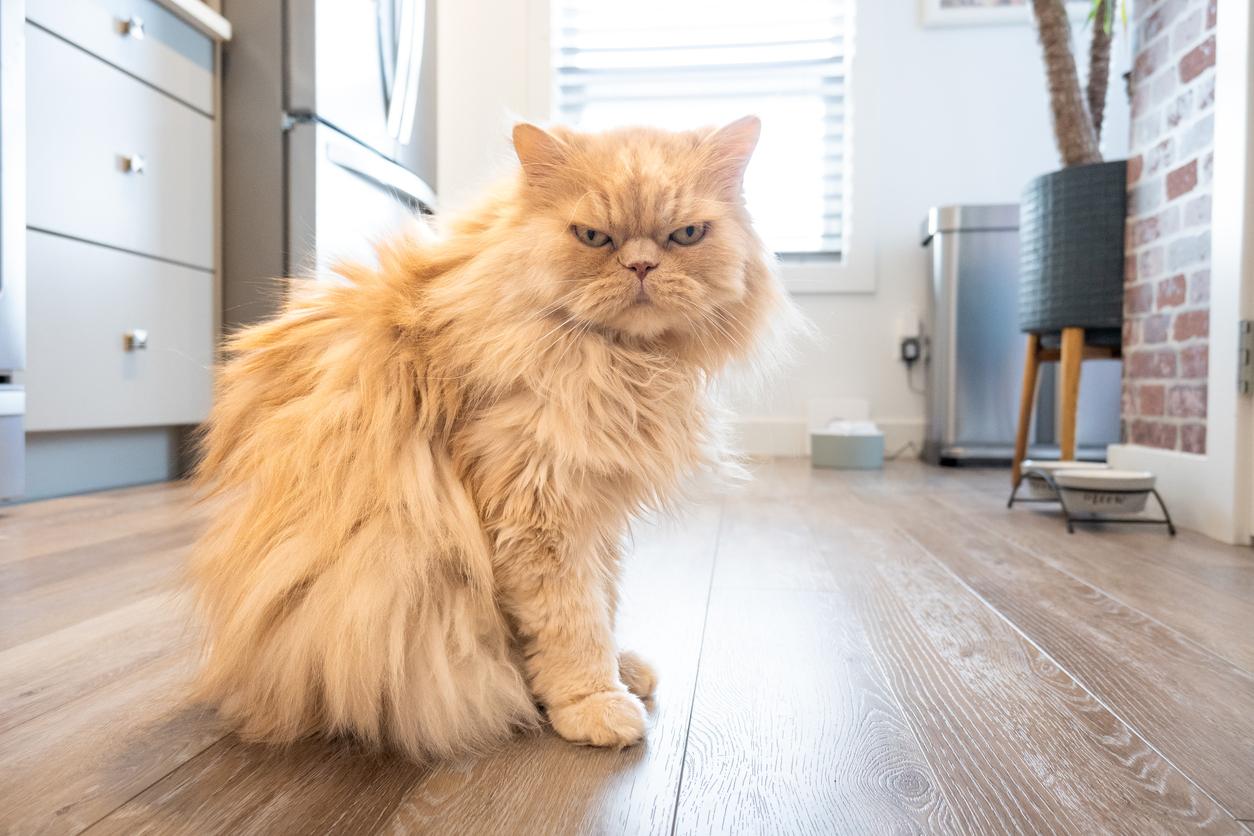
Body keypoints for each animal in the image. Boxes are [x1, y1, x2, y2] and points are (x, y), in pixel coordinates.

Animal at [190, 117, 787, 767]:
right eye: (593, 238)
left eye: (685, 235)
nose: (641, 267)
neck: (619, 367)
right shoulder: (539, 511)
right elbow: (574, 623)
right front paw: (594, 701)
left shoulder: (594, 508)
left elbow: (604, 599)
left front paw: (614, 672)